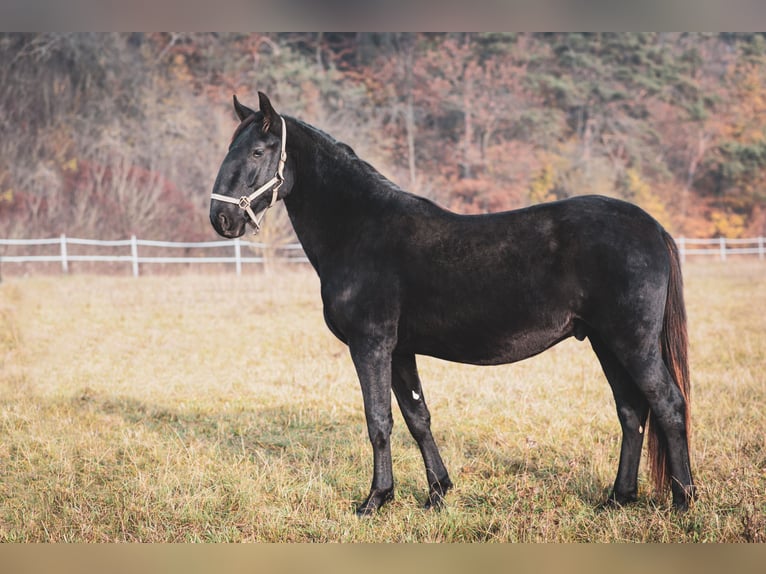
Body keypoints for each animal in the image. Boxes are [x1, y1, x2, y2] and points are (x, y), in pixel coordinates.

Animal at [208, 94, 696, 516]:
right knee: (631, 411)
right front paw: (437, 493)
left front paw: (375, 500)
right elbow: (417, 417)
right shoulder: (400, 350)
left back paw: (683, 500)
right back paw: (618, 498)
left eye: (257, 151)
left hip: (632, 343)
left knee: (668, 404)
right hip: (604, 342)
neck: (361, 230)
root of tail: (651, 226)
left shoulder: (370, 345)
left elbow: (378, 420)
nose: (221, 218)